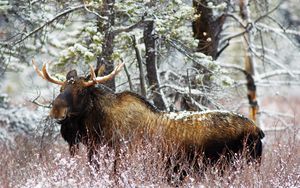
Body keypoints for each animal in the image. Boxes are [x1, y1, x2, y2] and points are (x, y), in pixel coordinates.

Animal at [31, 61, 264, 177]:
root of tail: (258, 130)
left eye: (80, 91)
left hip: (239, 165)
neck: (96, 131)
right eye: (60, 88)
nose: (57, 111)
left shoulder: (120, 161)